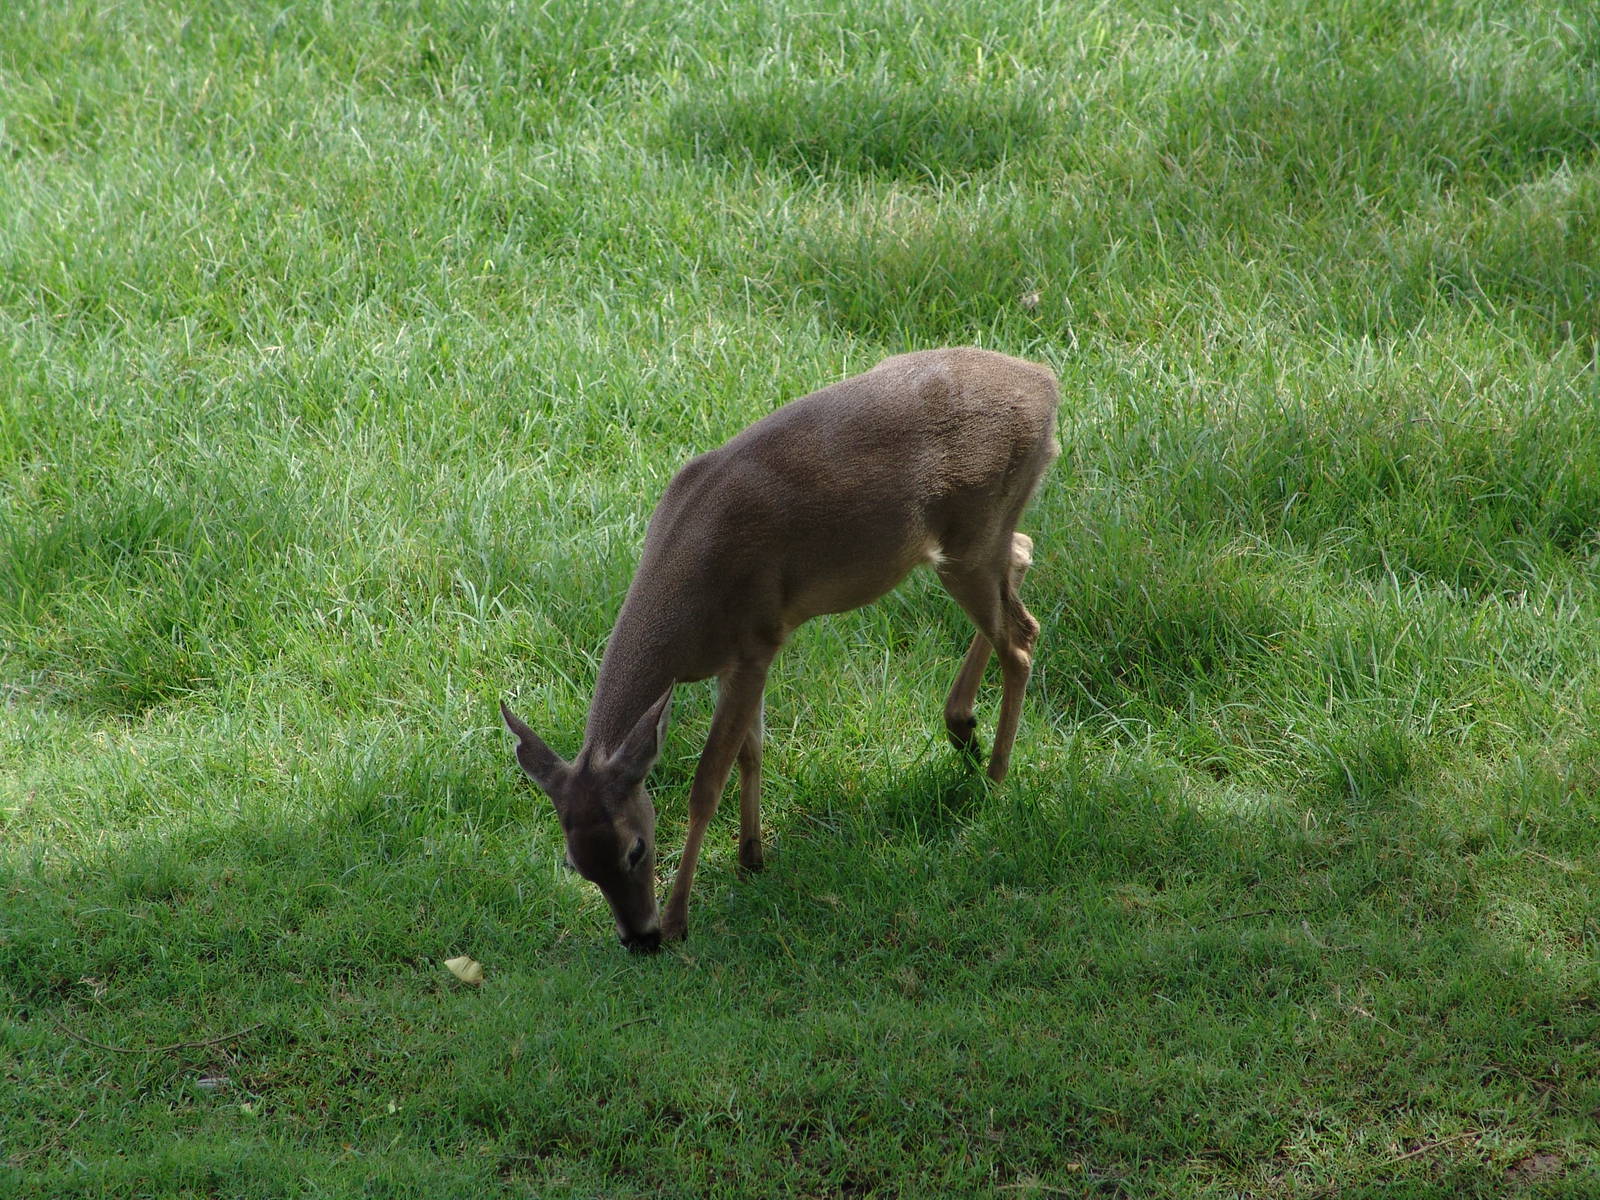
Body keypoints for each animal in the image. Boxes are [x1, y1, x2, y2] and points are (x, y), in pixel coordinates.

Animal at [500, 347, 1060, 951]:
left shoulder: (756, 640)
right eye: (575, 864)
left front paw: (679, 917)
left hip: (974, 531)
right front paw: (751, 857)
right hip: (981, 537)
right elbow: (751, 751)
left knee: (1022, 636)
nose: (639, 939)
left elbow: (707, 783)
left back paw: (996, 774)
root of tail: (1047, 385)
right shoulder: (739, 659)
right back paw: (961, 725)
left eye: (636, 849)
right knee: (1023, 554)